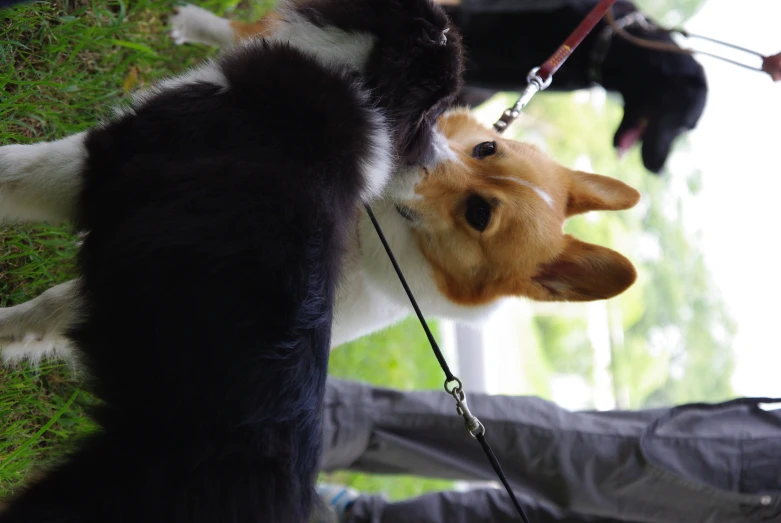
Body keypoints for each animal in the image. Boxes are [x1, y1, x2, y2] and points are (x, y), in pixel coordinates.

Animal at [0, 2, 464, 520]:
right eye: (438, 112)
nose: (442, 169)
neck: (363, 74)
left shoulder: (98, 161)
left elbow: (10, 168)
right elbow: (46, 313)